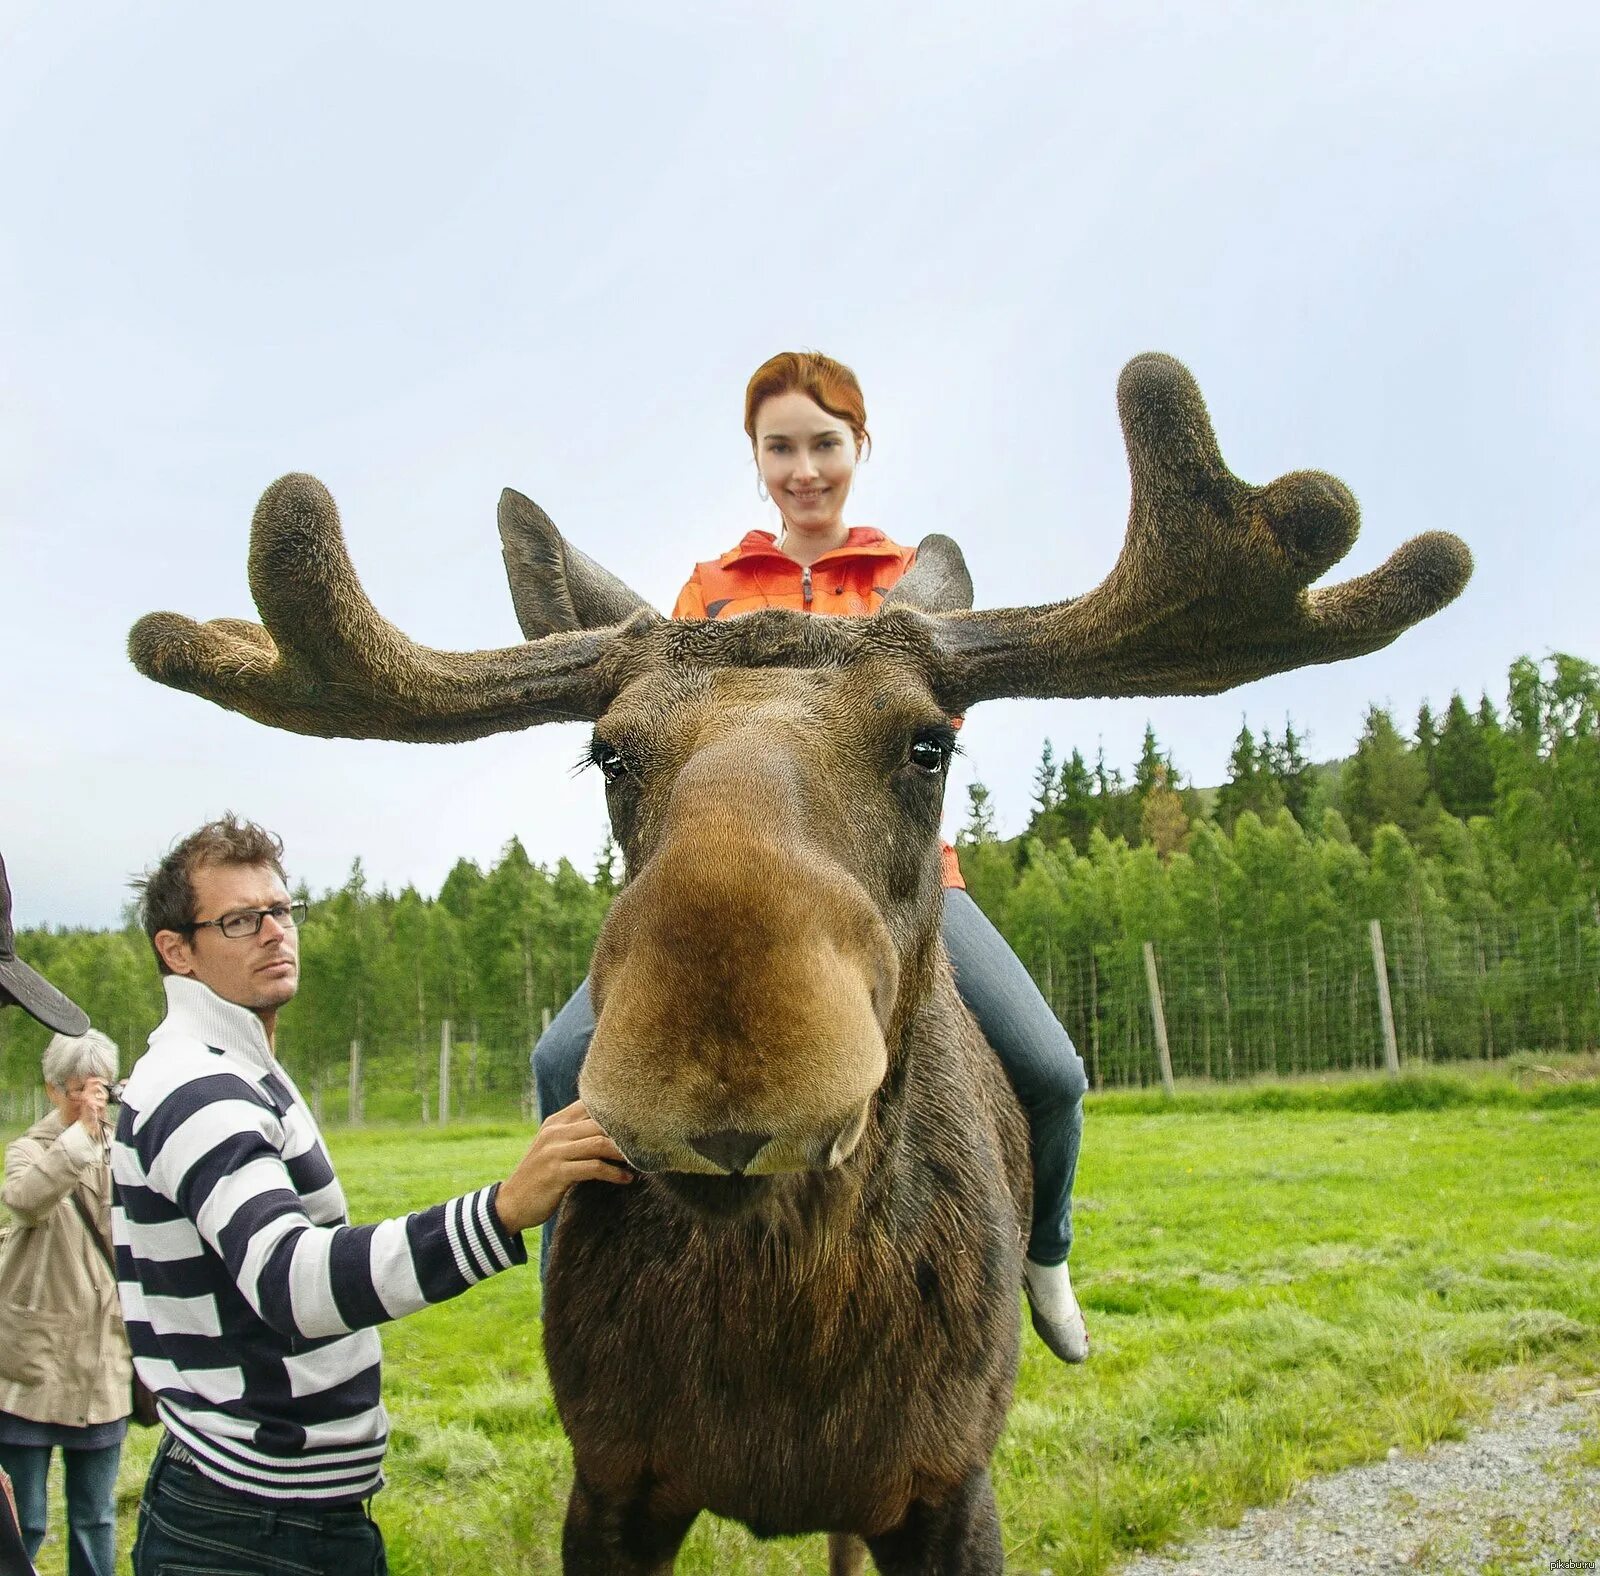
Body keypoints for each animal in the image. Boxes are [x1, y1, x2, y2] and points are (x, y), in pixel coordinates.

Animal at [131, 350, 1465, 1568]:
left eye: (931, 743)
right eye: (606, 751)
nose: (727, 1064)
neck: (785, 1334)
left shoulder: (945, 1485)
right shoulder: (613, 1480)